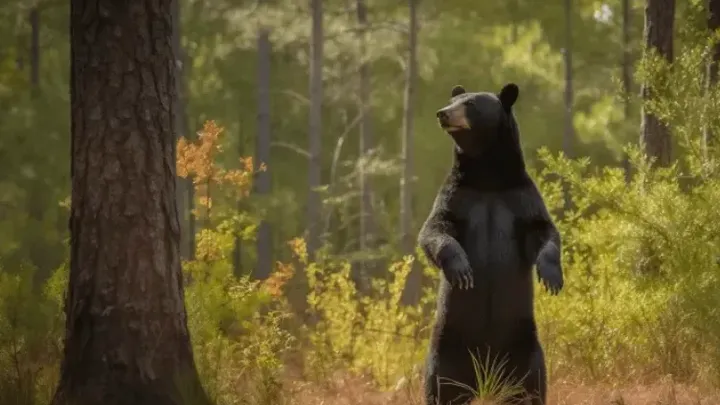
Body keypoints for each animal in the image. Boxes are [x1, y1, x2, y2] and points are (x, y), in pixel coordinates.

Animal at [417, 83, 564, 405]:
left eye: (470, 103)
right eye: (454, 99)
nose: (443, 113)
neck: (487, 177)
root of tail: (486, 378)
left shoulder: (519, 198)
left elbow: (544, 231)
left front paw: (552, 277)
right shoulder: (457, 196)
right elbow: (435, 229)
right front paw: (461, 271)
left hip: (525, 347)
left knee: (532, 384)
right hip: (446, 349)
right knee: (439, 386)